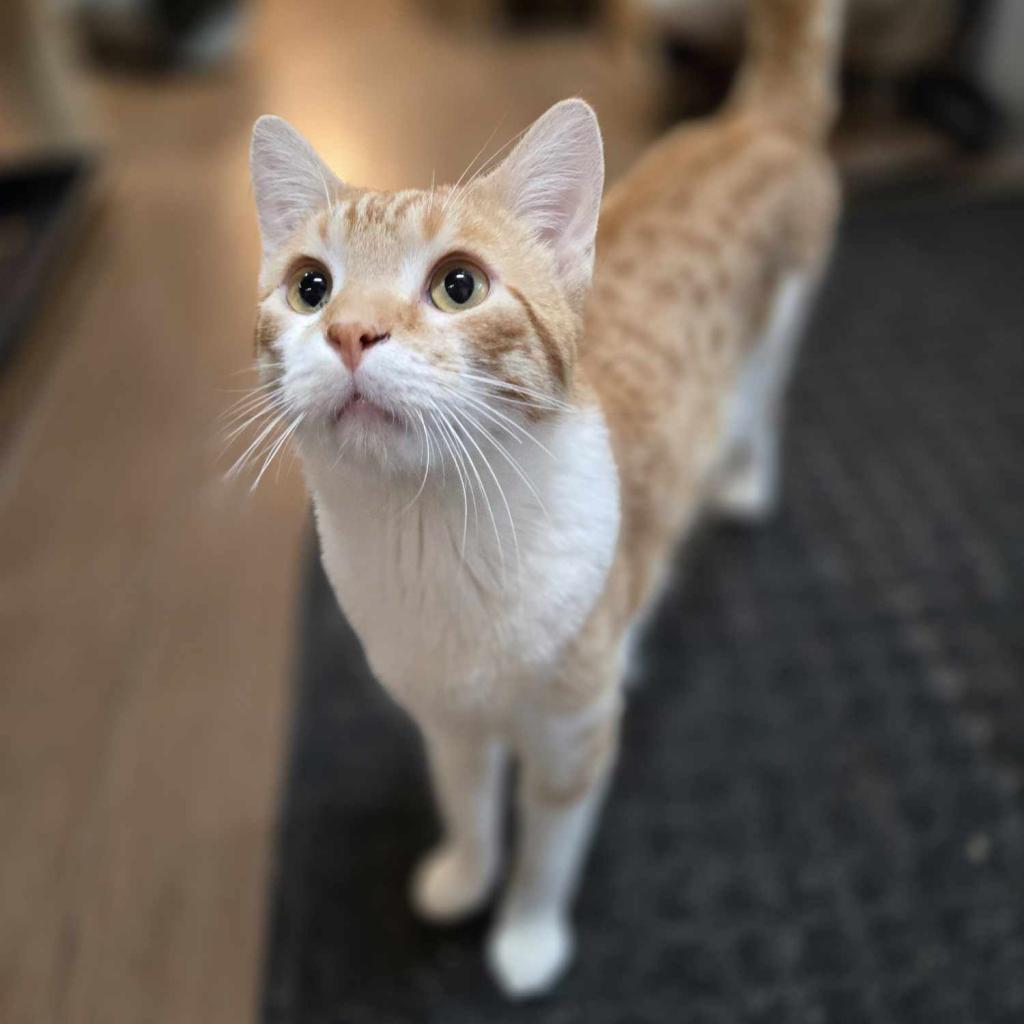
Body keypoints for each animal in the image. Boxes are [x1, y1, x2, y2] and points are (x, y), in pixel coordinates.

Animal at [245, 0, 839, 995]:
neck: (434, 538)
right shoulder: (445, 721)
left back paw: (748, 481)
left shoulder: (572, 740)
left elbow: (547, 852)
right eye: (310, 287)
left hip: (779, 336)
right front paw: (464, 874)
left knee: (766, 407)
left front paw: (524, 937)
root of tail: (748, 120)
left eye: (459, 285)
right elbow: (467, 806)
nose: (349, 331)